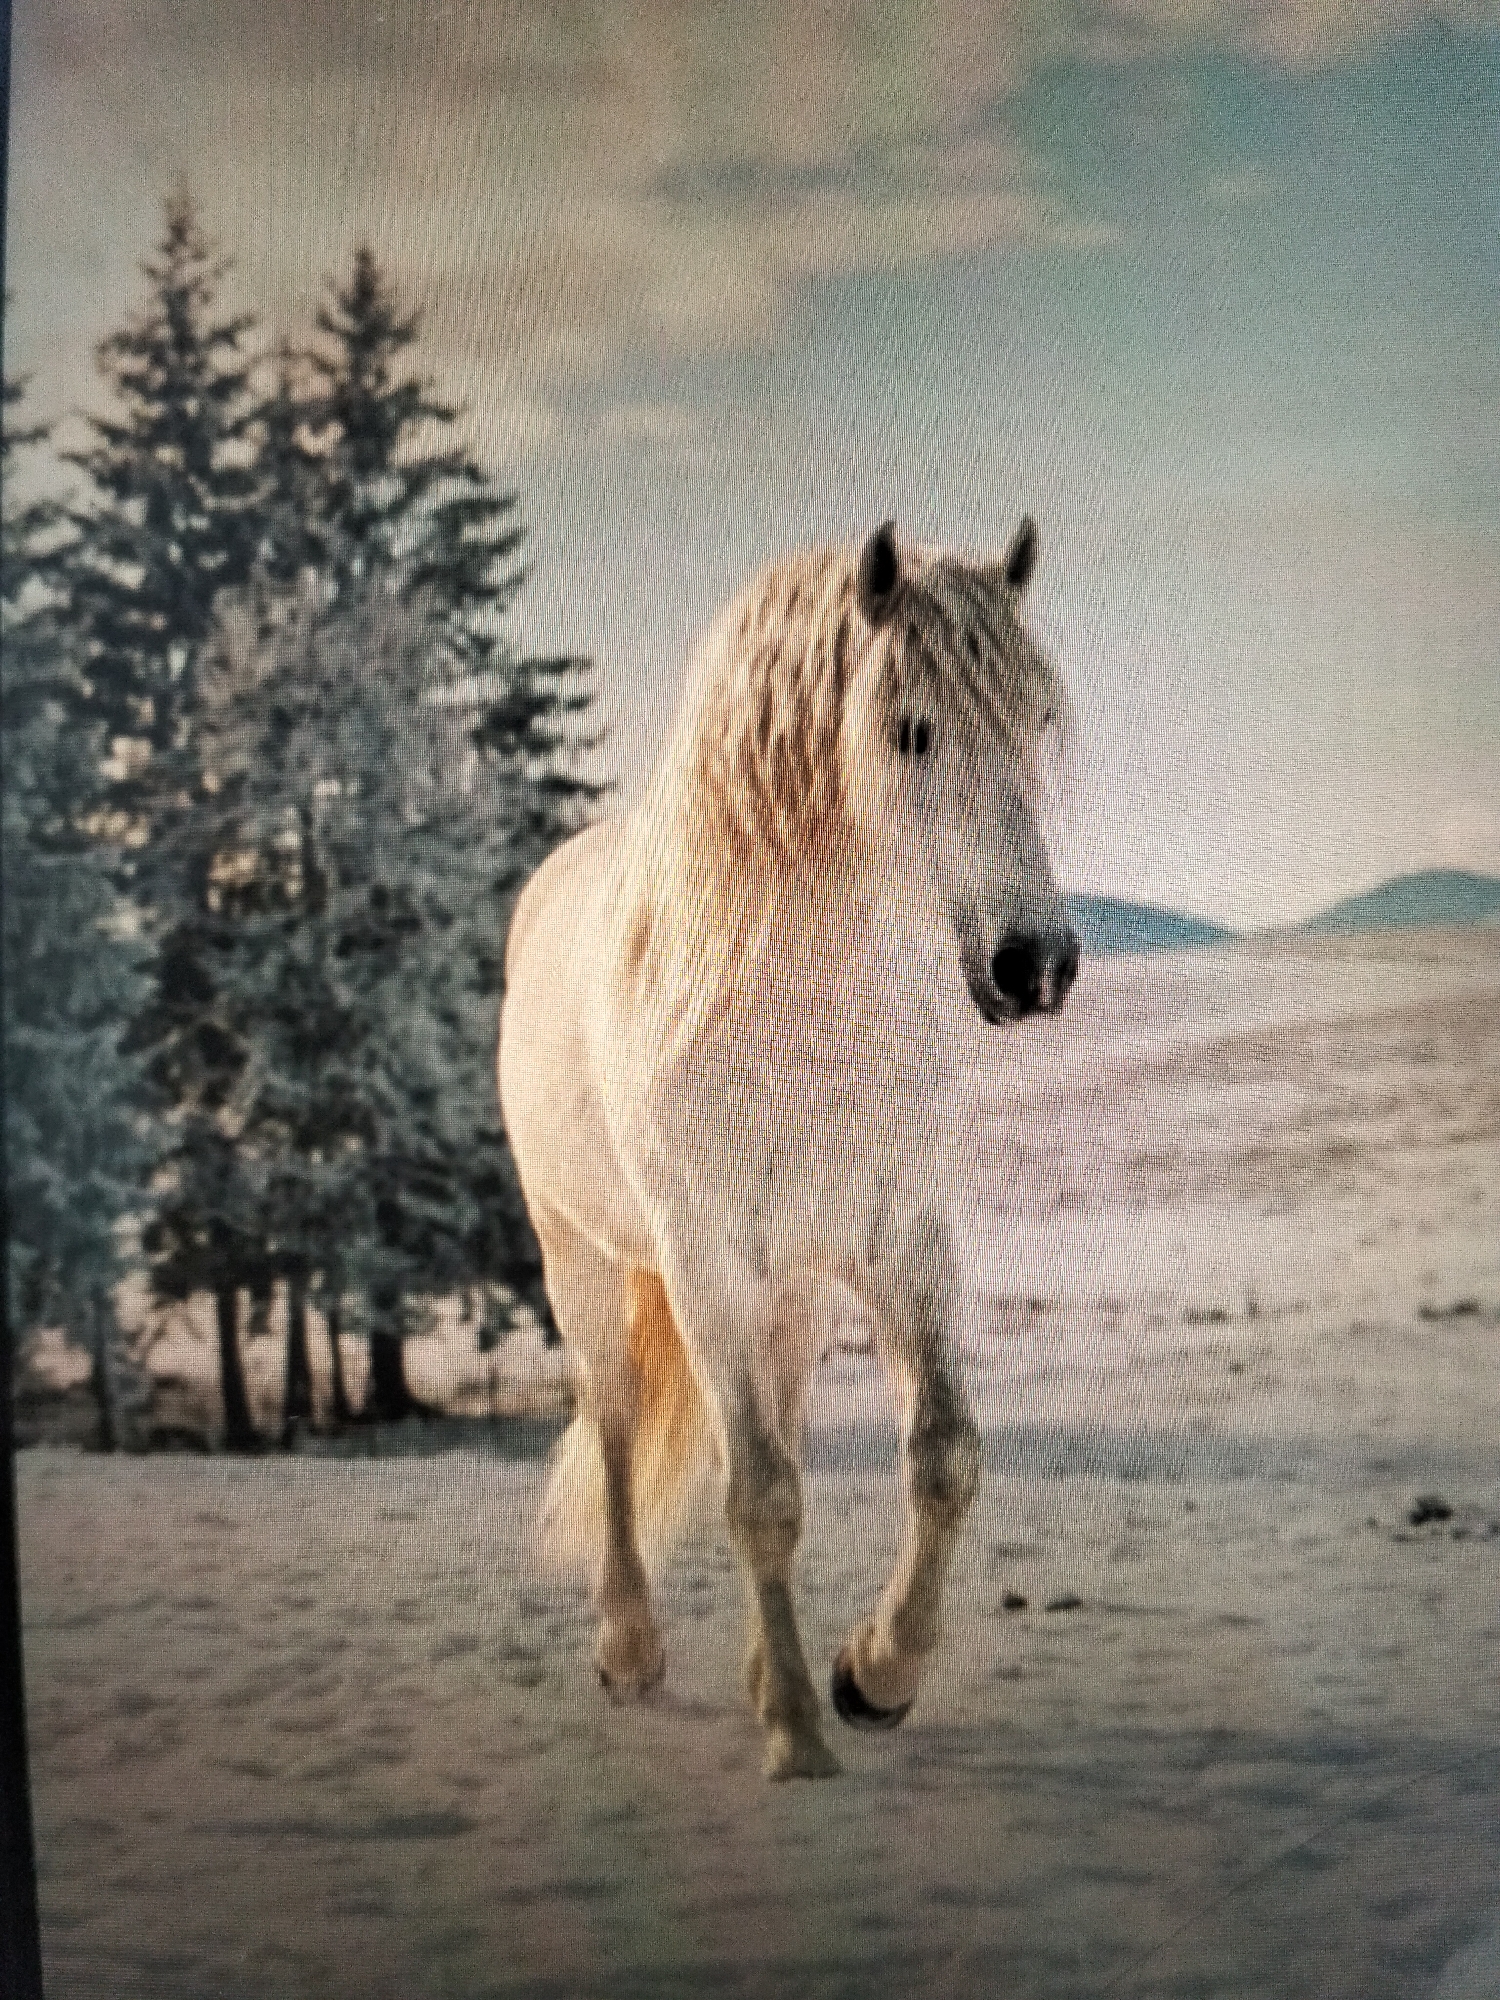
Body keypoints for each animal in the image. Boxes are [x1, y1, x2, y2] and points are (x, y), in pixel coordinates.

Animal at [498, 517, 1079, 1780]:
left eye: (1039, 720)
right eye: (909, 727)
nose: (1037, 964)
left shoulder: (899, 1237)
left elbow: (943, 1453)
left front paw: (872, 1675)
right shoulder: (708, 1260)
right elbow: (757, 1493)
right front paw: (802, 1738)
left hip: (791, 1291)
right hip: (582, 1255)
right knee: (617, 1423)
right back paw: (629, 1648)